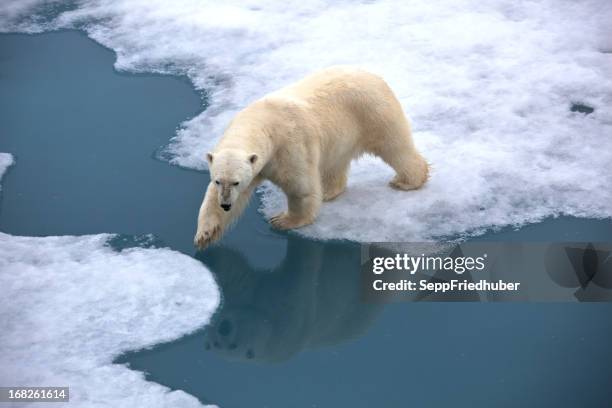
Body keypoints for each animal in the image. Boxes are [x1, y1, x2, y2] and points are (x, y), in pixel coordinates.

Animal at [194, 66, 428, 249]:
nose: (226, 204)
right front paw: (204, 234)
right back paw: (328, 191)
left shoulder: (289, 146)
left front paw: (282, 220)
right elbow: (211, 197)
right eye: (218, 180)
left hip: (373, 112)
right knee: (336, 164)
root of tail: (374, 76)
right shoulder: (257, 165)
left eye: (236, 181)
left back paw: (406, 181)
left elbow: (300, 187)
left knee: (395, 146)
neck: (263, 123)